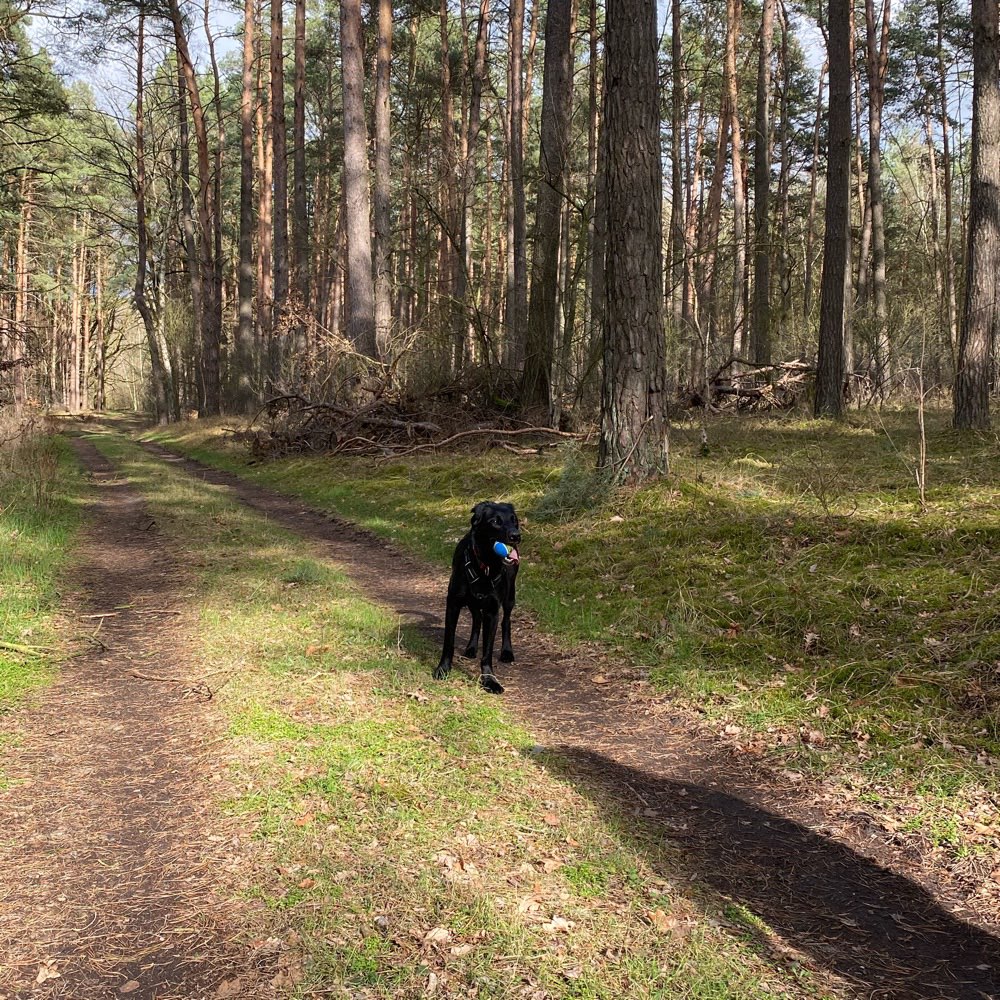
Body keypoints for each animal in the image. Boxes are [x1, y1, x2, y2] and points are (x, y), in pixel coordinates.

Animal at [432, 500, 520, 696]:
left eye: (514, 520)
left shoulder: (492, 612)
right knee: (476, 618)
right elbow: (449, 642)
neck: (485, 566)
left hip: (510, 596)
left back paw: (507, 652)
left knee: (506, 621)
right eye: (495, 521)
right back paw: (471, 647)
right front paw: (443, 669)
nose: (516, 535)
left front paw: (489, 680)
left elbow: (487, 652)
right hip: (472, 601)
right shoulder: (453, 605)